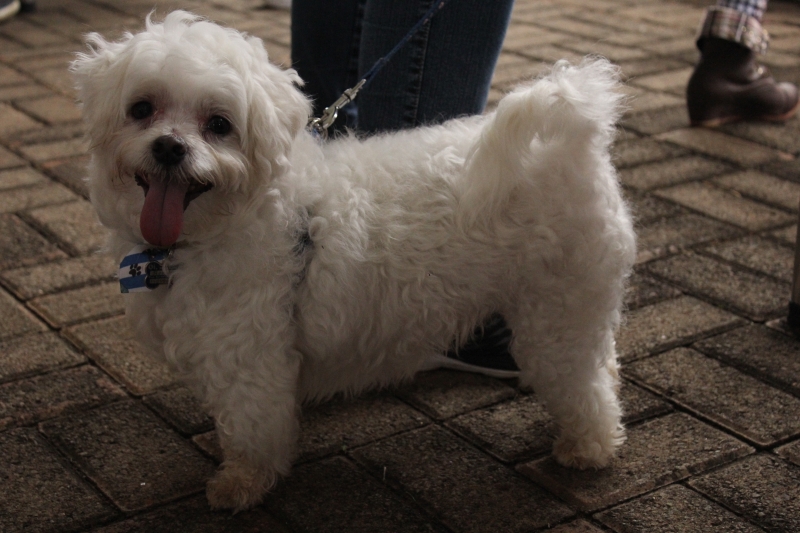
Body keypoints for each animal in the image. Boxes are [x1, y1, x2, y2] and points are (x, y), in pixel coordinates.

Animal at [72, 11, 636, 511]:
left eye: (219, 125)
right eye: (141, 108)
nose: (169, 147)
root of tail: (575, 139)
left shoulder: (249, 360)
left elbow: (252, 432)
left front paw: (241, 485)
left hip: (556, 311)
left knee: (583, 385)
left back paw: (587, 448)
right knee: (603, 365)